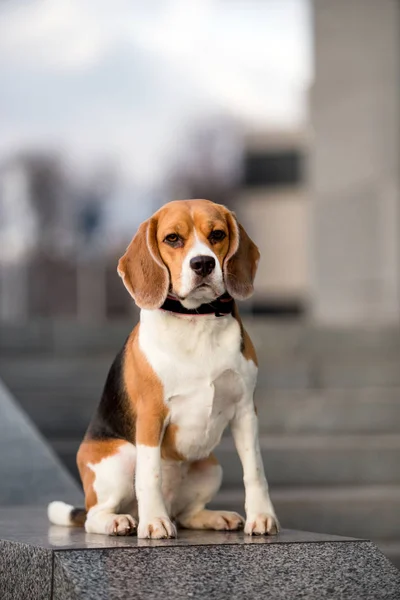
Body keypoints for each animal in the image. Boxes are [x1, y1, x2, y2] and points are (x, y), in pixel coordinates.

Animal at [47, 200, 278, 540]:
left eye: (217, 234)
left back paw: (213, 517)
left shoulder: (246, 411)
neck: (196, 319)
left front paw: (261, 516)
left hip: (210, 467)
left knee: (185, 514)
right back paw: (123, 521)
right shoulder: (151, 415)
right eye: (172, 239)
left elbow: (255, 470)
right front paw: (154, 522)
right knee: (94, 515)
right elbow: (150, 475)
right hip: (122, 457)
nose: (203, 264)